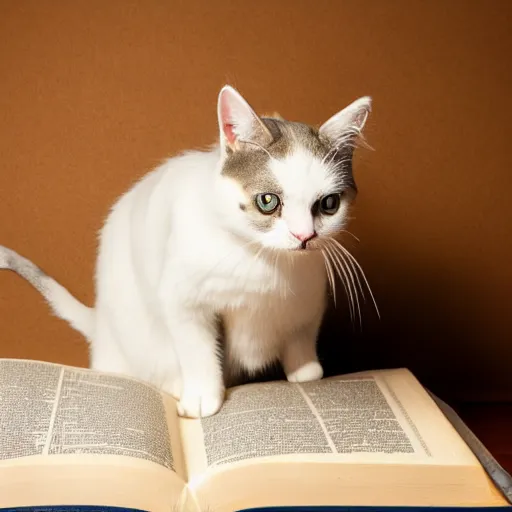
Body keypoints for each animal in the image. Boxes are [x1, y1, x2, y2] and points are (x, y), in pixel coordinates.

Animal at [1, 86, 376, 418]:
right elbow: (198, 351)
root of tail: (101, 325)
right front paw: (203, 397)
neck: (263, 261)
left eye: (328, 204)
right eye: (268, 201)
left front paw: (306, 371)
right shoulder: (185, 301)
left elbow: (301, 334)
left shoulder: (308, 298)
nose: (304, 236)